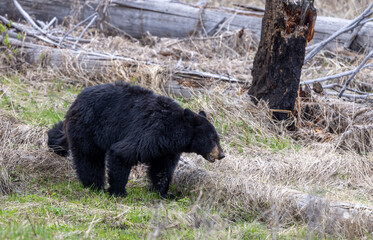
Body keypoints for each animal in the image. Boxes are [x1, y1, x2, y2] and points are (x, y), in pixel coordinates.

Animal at [49, 81, 224, 198]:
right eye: (212, 139)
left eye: (217, 138)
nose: (221, 154)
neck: (174, 132)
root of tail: (76, 101)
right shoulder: (151, 132)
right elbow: (122, 153)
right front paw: (119, 191)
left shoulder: (167, 149)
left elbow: (162, 168)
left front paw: (164, 193)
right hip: (90, 127)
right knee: (90, 158)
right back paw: (95, 185)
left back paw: (53, 142)